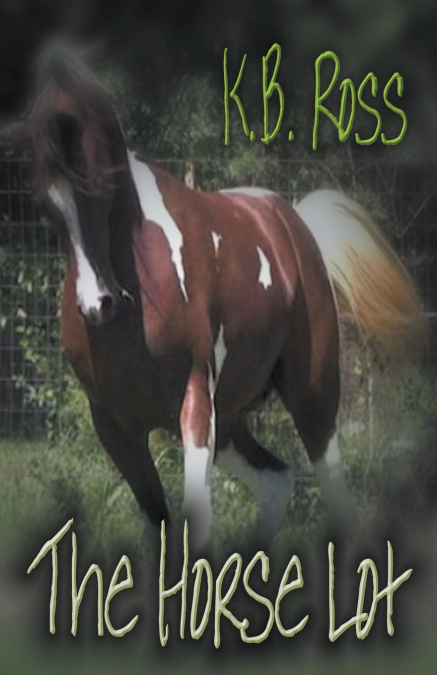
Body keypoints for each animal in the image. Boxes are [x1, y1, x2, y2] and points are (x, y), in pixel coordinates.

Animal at [29, 48, 425, 548]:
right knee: (278, 479)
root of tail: (291, 220)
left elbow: (194, 522)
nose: (98, 304)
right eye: (47, 203)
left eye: (100, 185)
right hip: (233, 419)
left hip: (311, 396)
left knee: (334, 490)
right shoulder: (116, 429)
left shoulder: (195, 401)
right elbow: (160, 524)